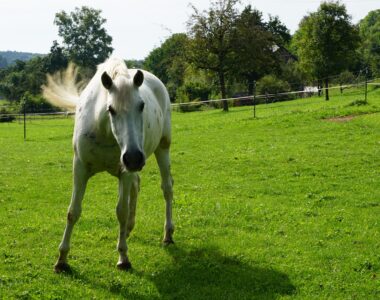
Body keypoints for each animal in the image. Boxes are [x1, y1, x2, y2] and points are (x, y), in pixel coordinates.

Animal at [43, 58, 174, 272]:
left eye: (141, 106)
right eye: (111, 109)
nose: (134, 157)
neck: (103, 130)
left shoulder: (124, 171)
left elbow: (121, 211)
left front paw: (123, 257)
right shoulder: (80, 167)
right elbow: (73, 211)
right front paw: (61, 259)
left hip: (162, 148)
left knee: (167, 189)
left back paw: (168, 234)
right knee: (137, 186)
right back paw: (128, 229)